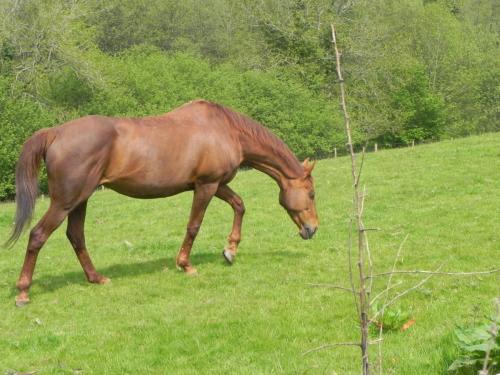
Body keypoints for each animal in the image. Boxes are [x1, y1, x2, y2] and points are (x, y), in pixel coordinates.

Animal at [5, 98, 318, 306]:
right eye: (313, 193)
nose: (312, 229)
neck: (226, 129)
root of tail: (55, 132)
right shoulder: (206, 186)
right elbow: (194, 226)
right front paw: (186, 265)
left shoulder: (217, 184)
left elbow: (239, 205)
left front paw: (230, 250)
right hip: (65, 201)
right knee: (38, 235)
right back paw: (23, 292)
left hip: (80, 200)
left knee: (76, 236)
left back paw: (97, 278)